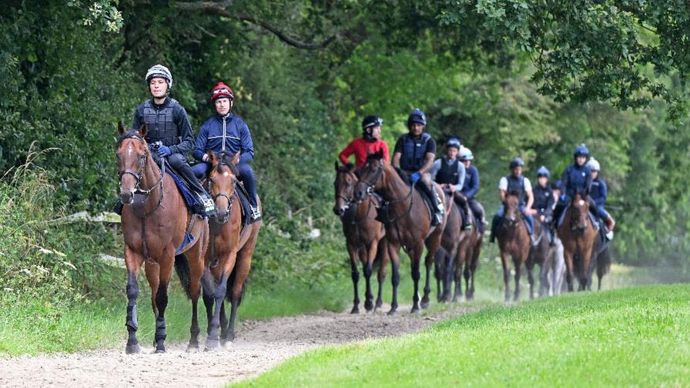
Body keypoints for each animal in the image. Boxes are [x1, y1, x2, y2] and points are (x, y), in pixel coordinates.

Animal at [115, 123, 207, 354]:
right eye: (118, 154)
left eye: (142, 156)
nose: (126, 194)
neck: (147, 208)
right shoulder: (133, 252)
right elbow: (134, 292)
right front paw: (133, 341)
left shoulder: (167, 256)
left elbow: (163, 297)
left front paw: (162, 341)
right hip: (151, 264)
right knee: (153, 294)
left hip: (195, 257)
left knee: (195, 292)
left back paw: (193, 341)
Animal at [203, 151, 262, 348]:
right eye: (211, 179)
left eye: (234, 181)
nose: (221, 212)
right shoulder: (204, 259)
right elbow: (210, 293)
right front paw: (212, 331)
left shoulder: (229, 255)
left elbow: (221, 291)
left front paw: (214, 336)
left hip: (245, 255)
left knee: (235, 292)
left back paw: (228, 334)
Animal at [334, 162, 388, 314]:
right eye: (335, 183)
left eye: (348, 183)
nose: (338, 210)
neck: (358, 214)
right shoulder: (351, 244)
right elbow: (356, 273)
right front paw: (356, 305)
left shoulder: (373, 243)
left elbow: (368, 271)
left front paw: (369, 303)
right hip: (362, 247)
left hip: (384, 243)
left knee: (381, 272)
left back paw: (377, 302)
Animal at [352, 150, 444, 314]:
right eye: (362, 170)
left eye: (373, 170)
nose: (358, 193)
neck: (403, 206)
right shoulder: (393, 243)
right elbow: (395, 276)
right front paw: (393, 307)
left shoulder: (418, 243)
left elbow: (416, 273)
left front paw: (415, 306)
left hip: (434, 238)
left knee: (428, 263)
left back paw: (425, 299)